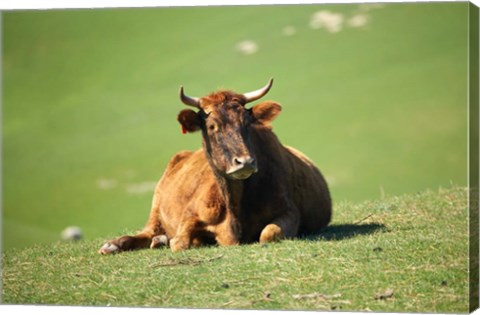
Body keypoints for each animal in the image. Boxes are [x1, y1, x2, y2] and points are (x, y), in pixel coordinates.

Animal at [99, 80, 332, 256]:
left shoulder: (289, 212)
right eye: (212, 126)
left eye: (247, 123)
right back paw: (114, 244)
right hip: (156, 208)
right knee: (145, 233)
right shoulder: (190, 214)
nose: (245, 162)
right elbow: (180, 242)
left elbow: (267, 234)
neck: (235, 204)